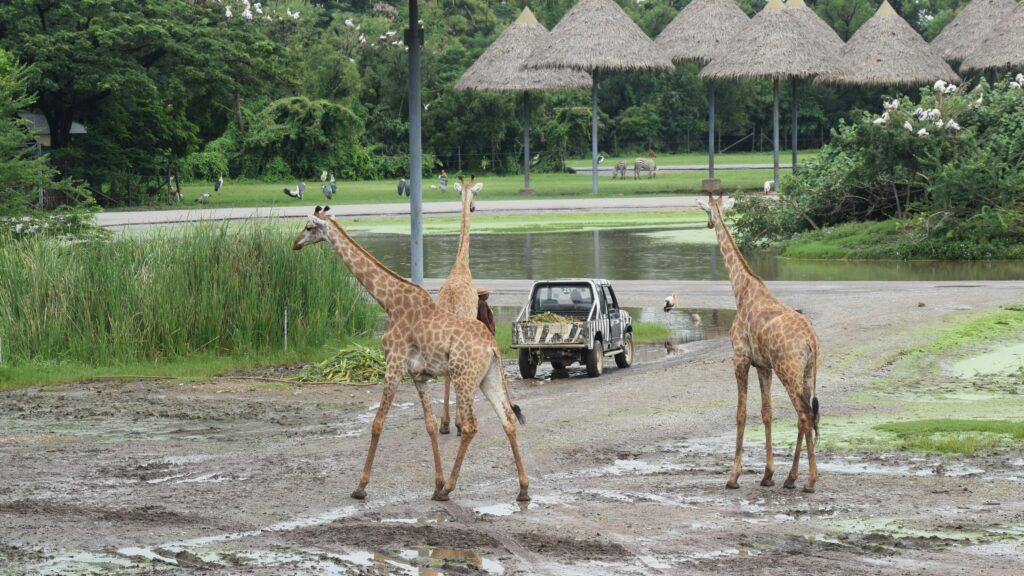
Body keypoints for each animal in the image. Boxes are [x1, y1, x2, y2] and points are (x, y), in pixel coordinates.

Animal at [292, 206, 530, 502]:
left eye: (309, 227)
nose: (295, 244)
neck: (389, 302)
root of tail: (493, 346)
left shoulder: (393, 364)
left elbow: (378, 423)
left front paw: (360, 487)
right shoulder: (419, 375)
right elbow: (429, 425)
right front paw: (436, 483)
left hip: (464, 377)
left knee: (472, 426)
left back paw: (450, 489)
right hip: (488, 377)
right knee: (508, 419)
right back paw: (522, 489)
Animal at [696, 193, 821, 493]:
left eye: (706, 210)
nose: (707, 224)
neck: (741, 290)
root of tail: (812, 341)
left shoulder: (740, 358)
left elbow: (740, 413)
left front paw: (733, 477)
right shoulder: (763, 366)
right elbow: (767, 413)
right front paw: (768, 474)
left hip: (788, 370)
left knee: (804, 415)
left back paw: (809, 481)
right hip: (807, 372)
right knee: (805, 417)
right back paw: (791, 478)